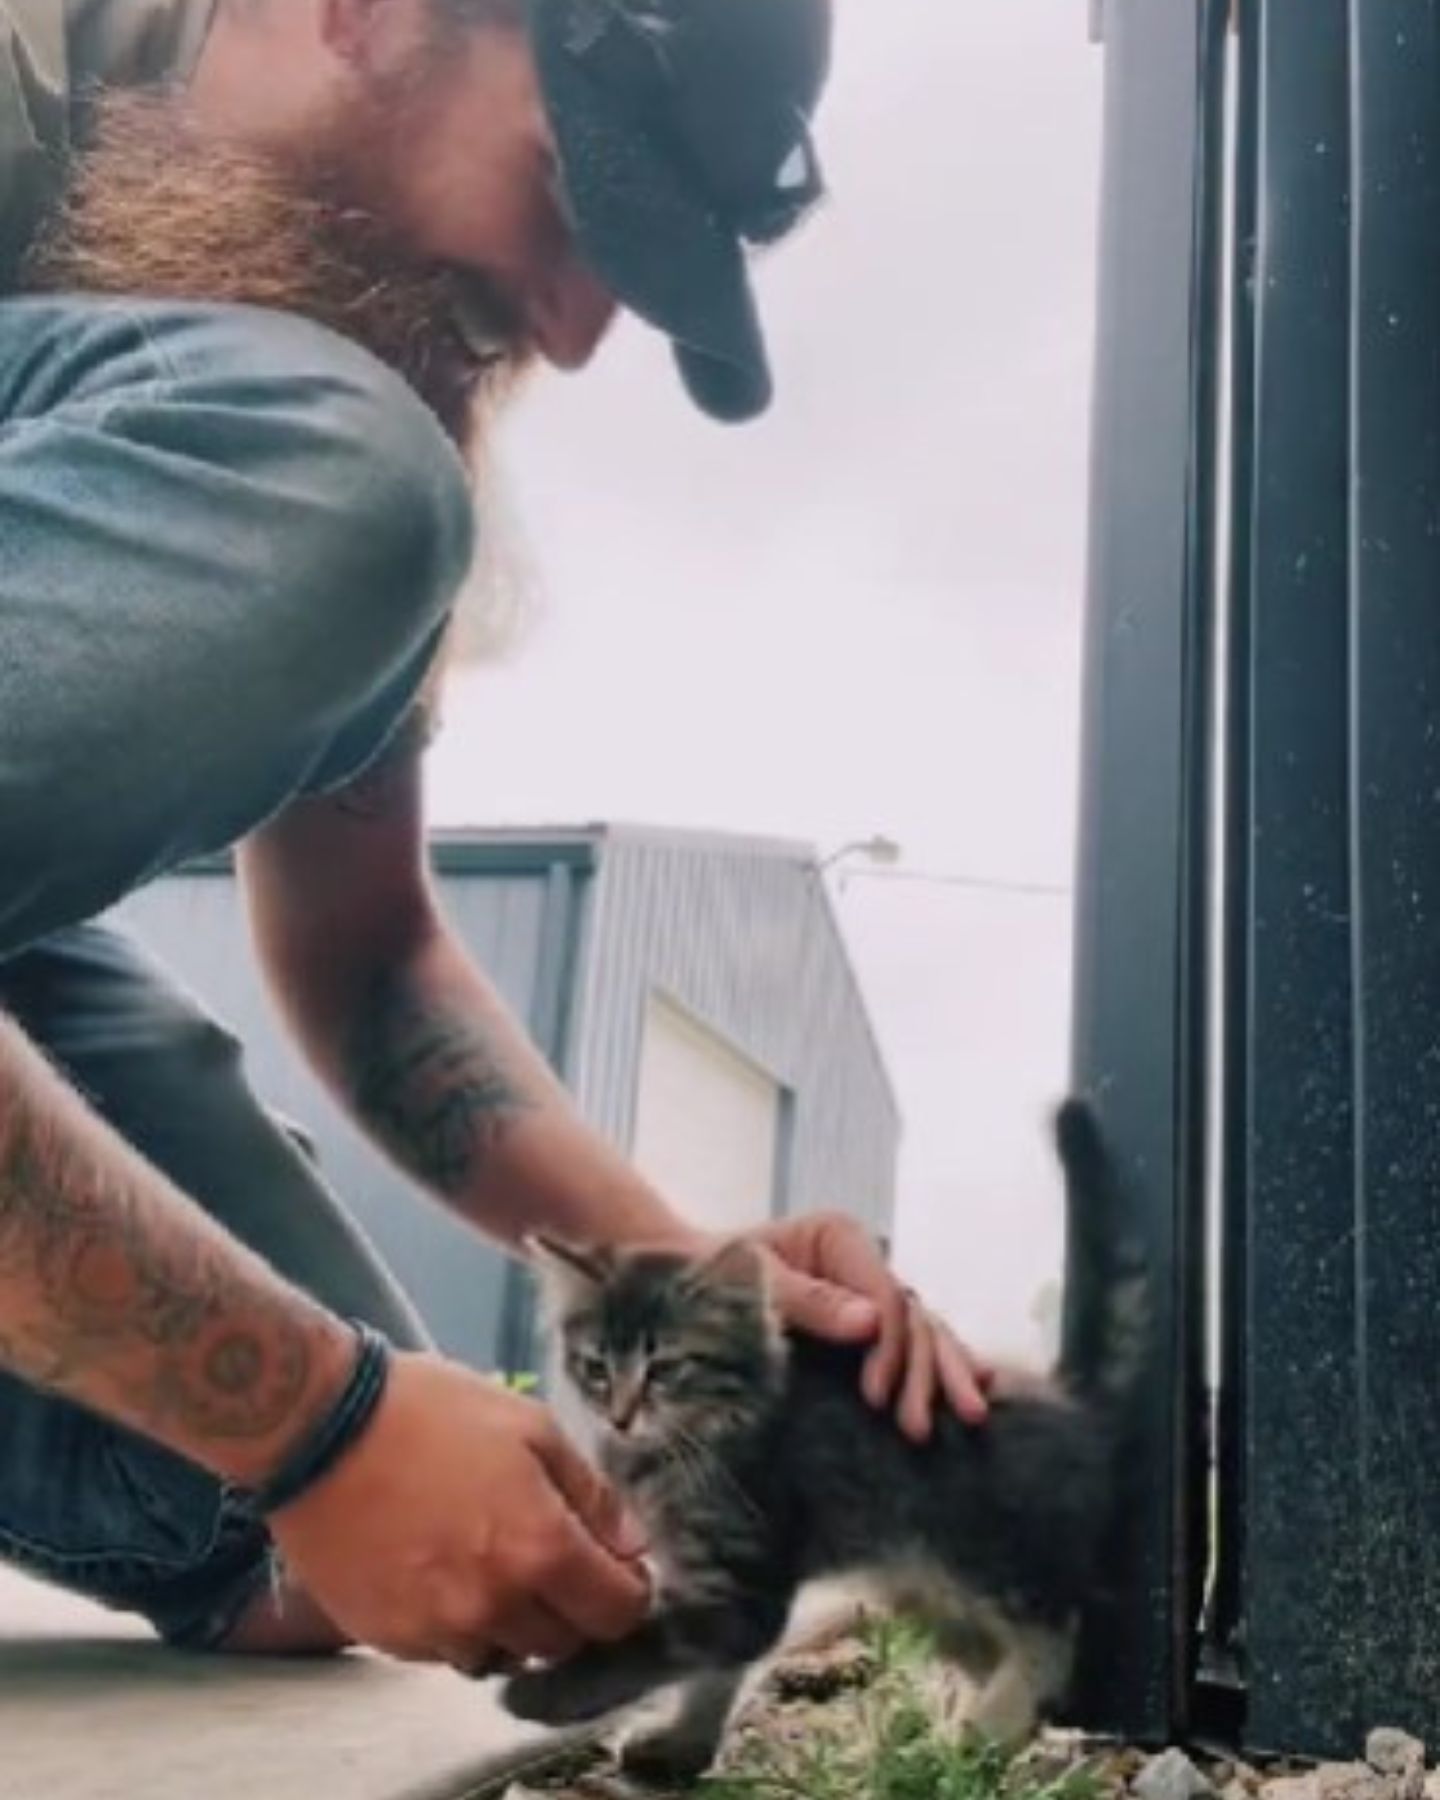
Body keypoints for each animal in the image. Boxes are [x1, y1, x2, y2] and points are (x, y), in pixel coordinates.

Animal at [507, 1094, 1144, 1785]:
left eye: (665, 1368)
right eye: (596, 1368)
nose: (620, 1416)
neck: (688, 1443)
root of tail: (1069, 1400)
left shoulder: (740, 1582)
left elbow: (649, 1647)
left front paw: (544, 1692)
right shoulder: (710, 1583)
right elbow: (711, 1677)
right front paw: (681, 1745)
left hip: (992, 1552)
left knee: (1057, 1631)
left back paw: (991, 1723)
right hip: (922, 1588)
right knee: (991, 1649)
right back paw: (951, 1736)